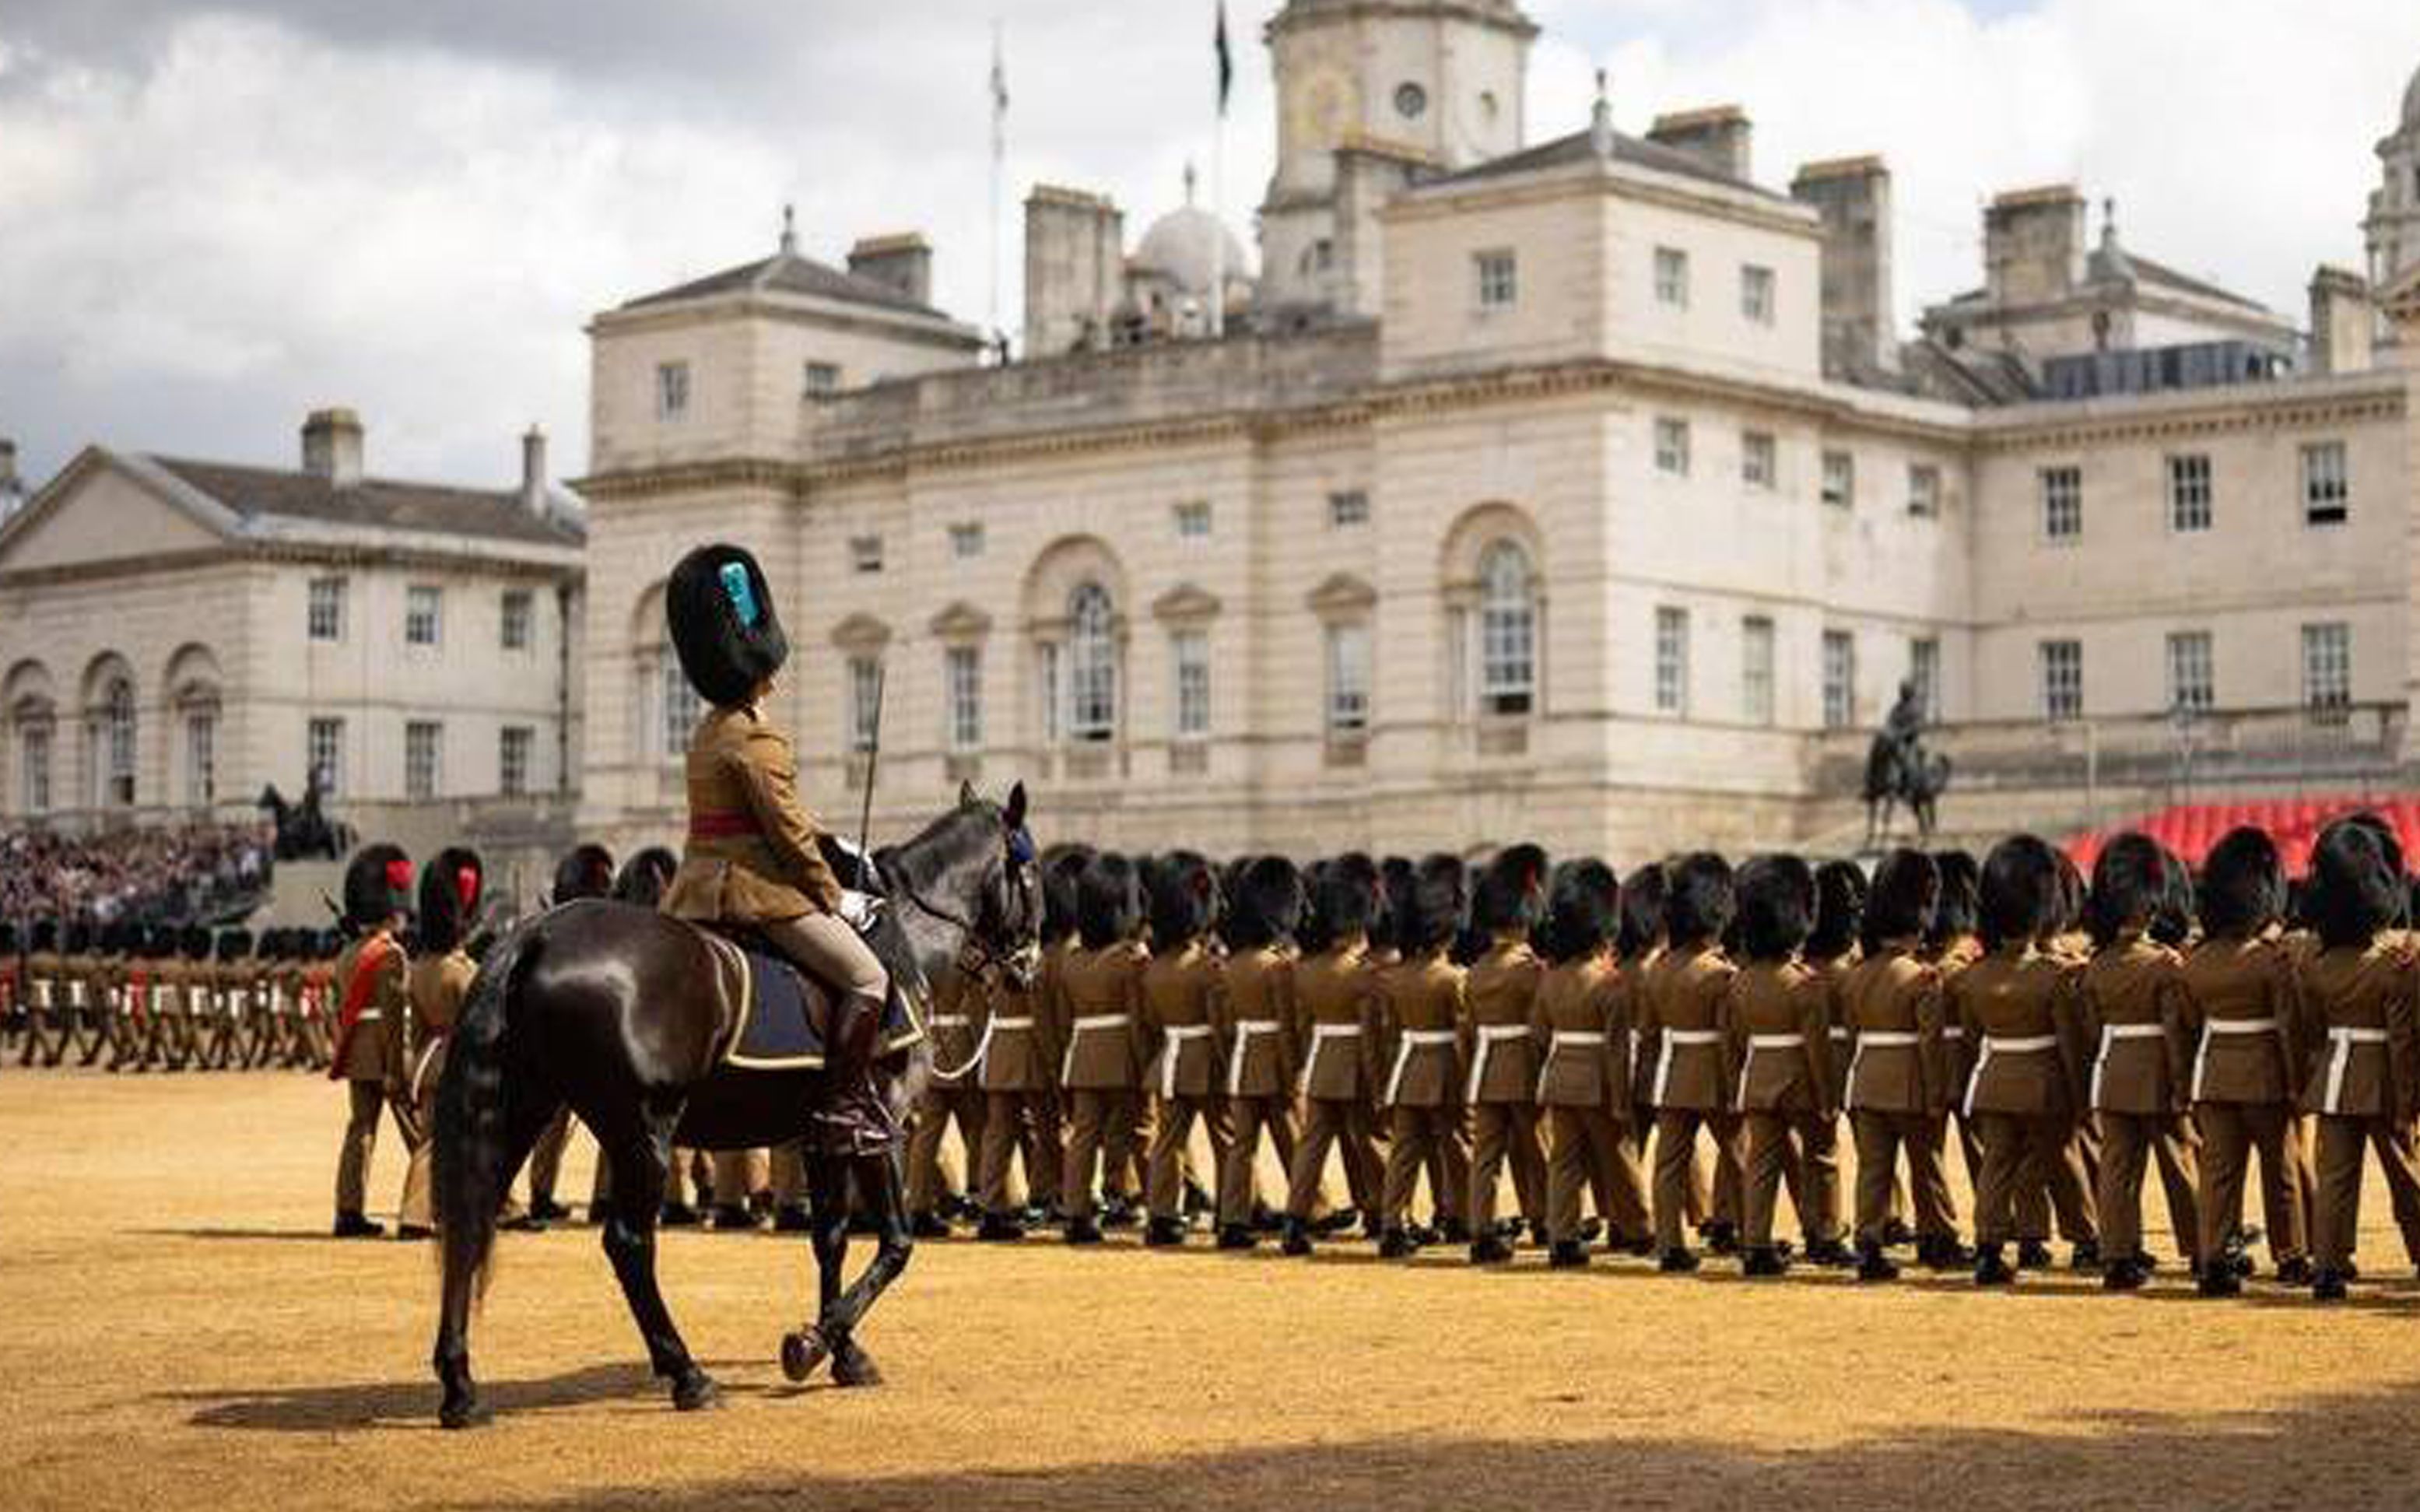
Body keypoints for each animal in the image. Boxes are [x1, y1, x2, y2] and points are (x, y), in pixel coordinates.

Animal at [430, 779, 1036, 1422]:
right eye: (1030, 868)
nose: (1028, 966)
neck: (908, 944)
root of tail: (533, 935)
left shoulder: (823, 1131)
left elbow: (831, 1239)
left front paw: (842, 1351)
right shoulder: (882, 1122)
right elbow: (895, 1243)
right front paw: (812, 1343)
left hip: (523, 1110)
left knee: (470, 1220)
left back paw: (460, 1386)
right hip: (644, 1132)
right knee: (628, 1244)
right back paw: (687, 1373)